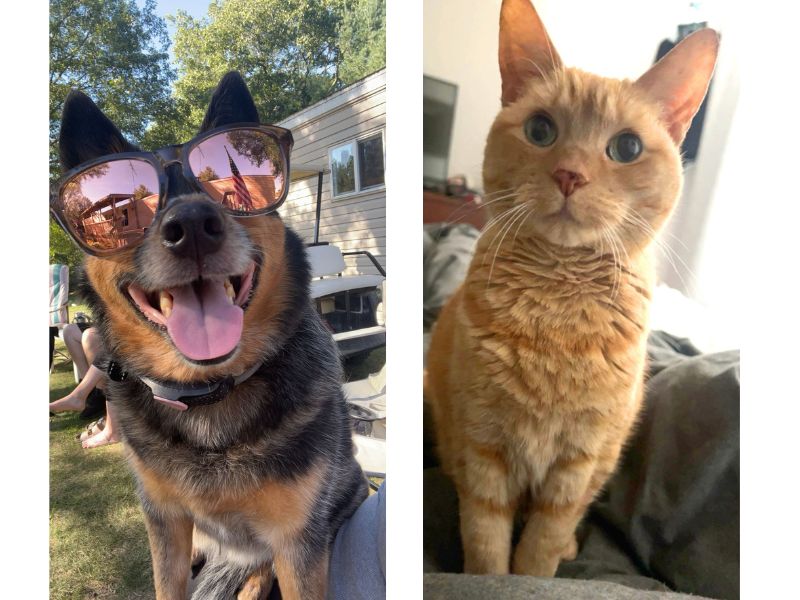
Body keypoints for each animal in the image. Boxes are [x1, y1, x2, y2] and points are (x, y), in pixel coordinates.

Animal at [424, 0, 720, 576]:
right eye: (541, 130)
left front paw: (541, 564)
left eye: (626, 147)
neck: (557, 308)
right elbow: (488, 550)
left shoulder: (578, 462)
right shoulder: (483, 449)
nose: (569, 175)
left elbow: (540, 551)